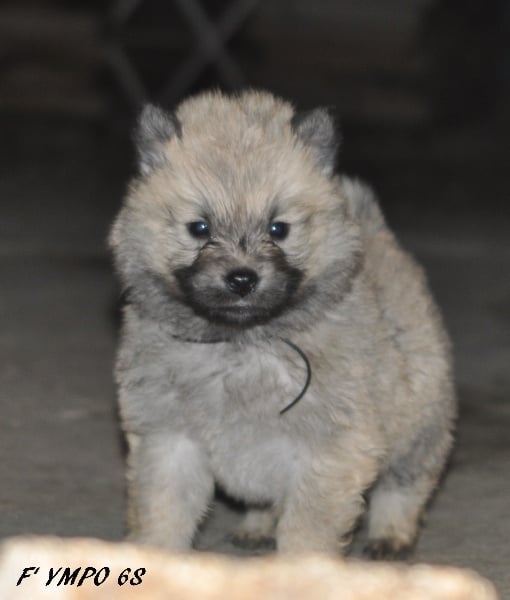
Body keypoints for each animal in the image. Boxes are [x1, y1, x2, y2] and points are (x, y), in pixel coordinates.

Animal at [109, 89, 456, 556]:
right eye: (199, 228)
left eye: (279, 229)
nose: (242, 278)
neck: (240, 344)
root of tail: (377, 231)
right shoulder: (168, 443)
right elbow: (162, 516)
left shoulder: (331, 453)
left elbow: (307, 533)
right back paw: (256, 527)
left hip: (419, 421)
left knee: (404, 484)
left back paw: (390, 534)